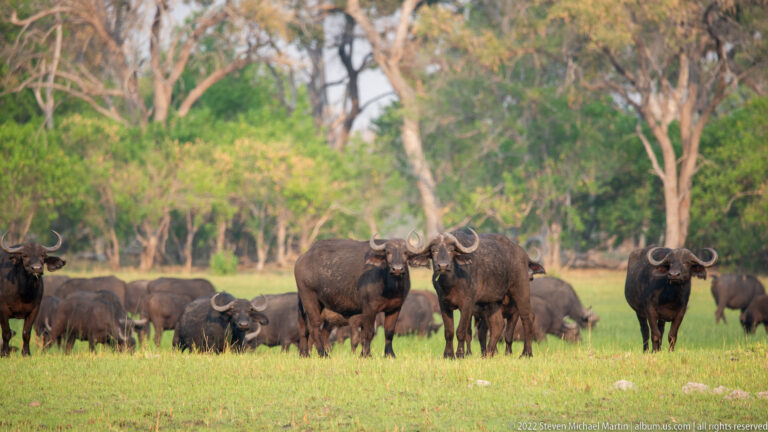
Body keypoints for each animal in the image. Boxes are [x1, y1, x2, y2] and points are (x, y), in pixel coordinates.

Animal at [295, 235, 429, 358]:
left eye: (405, 253)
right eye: (388, 252)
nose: (397, 269)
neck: (390, 287)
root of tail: (302, 258)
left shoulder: (395, 308)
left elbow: (389, 332)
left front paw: (389, 354)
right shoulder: (369, 308)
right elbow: (368, 333)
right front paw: (366, 355)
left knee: (308, 329)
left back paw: (305, 354)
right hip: (309, 298)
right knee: (314, 327)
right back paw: (323, 354)